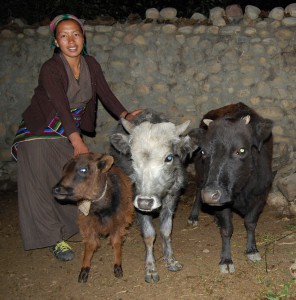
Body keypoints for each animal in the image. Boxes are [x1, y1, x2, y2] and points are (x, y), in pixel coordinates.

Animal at [52, 154, 133, 282]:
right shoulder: (86, 222)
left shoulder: (119, 221)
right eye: (64, 169)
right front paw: (84, 270)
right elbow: (90, 244)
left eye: (83, 170)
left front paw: (117, 267)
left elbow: (116, 242)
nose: (56, 189)